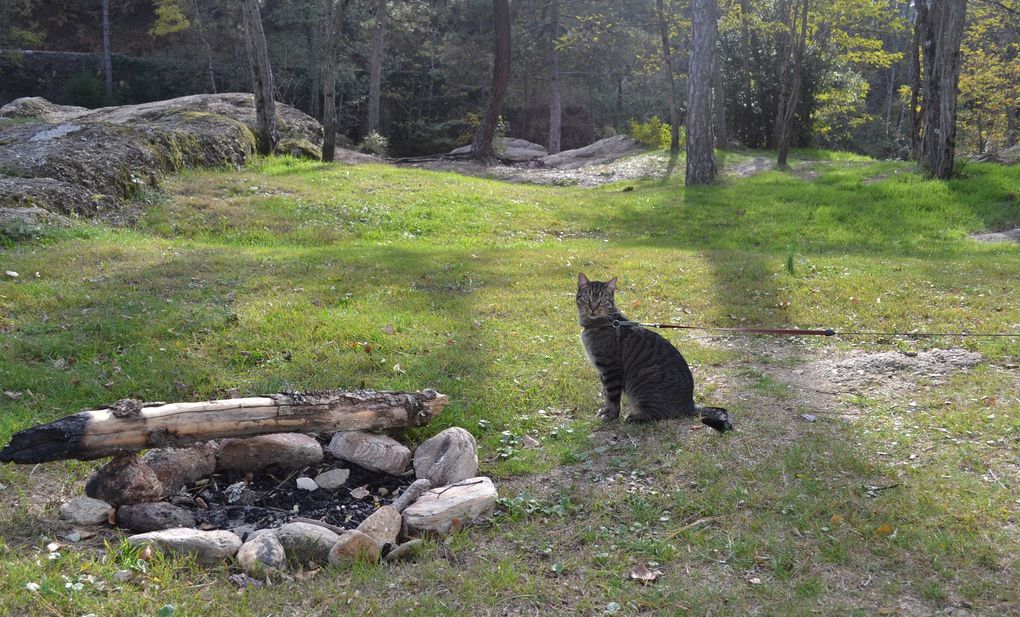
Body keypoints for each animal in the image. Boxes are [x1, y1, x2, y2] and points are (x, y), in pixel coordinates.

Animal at [575, 271, 734, 430]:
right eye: (587, 297)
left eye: (602, 300)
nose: (593, 308)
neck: (601, 323)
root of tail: (690, 403)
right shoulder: (603, 372)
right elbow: (606, 395)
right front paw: (605, 410)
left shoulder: (610, 369)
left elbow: (612, 397)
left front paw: (611, 416)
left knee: (659, 415)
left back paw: (635, 417)